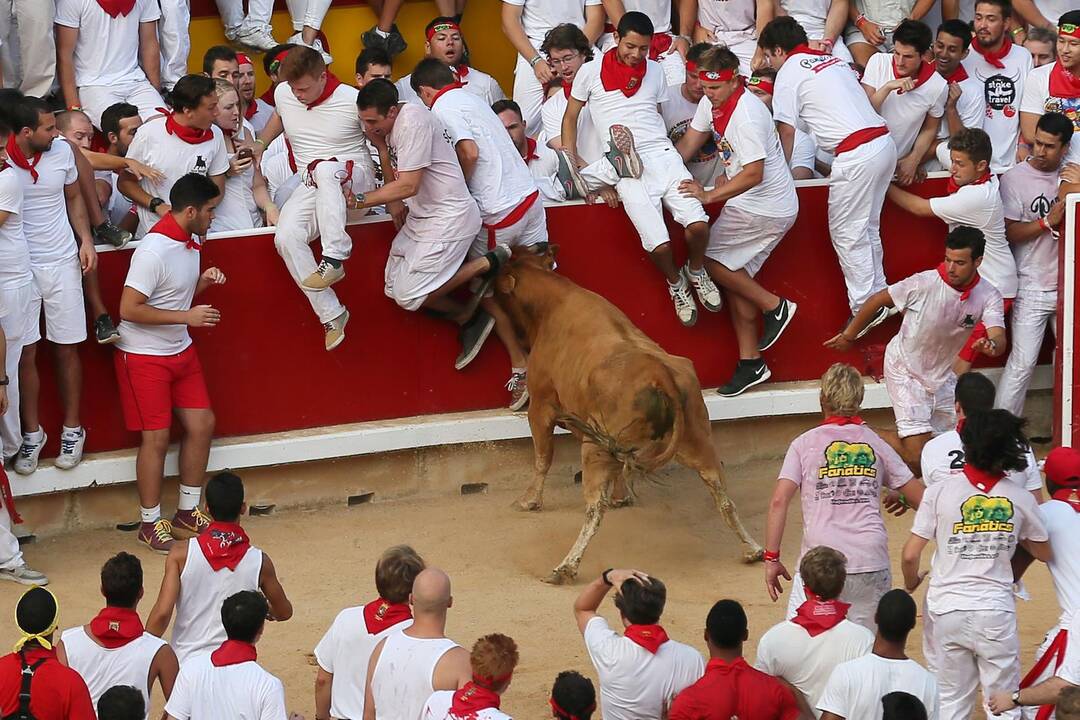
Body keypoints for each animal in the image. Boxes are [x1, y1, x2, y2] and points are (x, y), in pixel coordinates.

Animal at [494, 248, 764, 587]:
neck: (552, 302)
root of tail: (660, 376)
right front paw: (622, 497)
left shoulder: (540, 407)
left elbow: (542, 458)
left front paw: (529, 501)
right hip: (699, 442)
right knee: (723, 498)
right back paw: (753, 550)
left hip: (594, 449)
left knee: (594, 511)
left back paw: (564, 568)